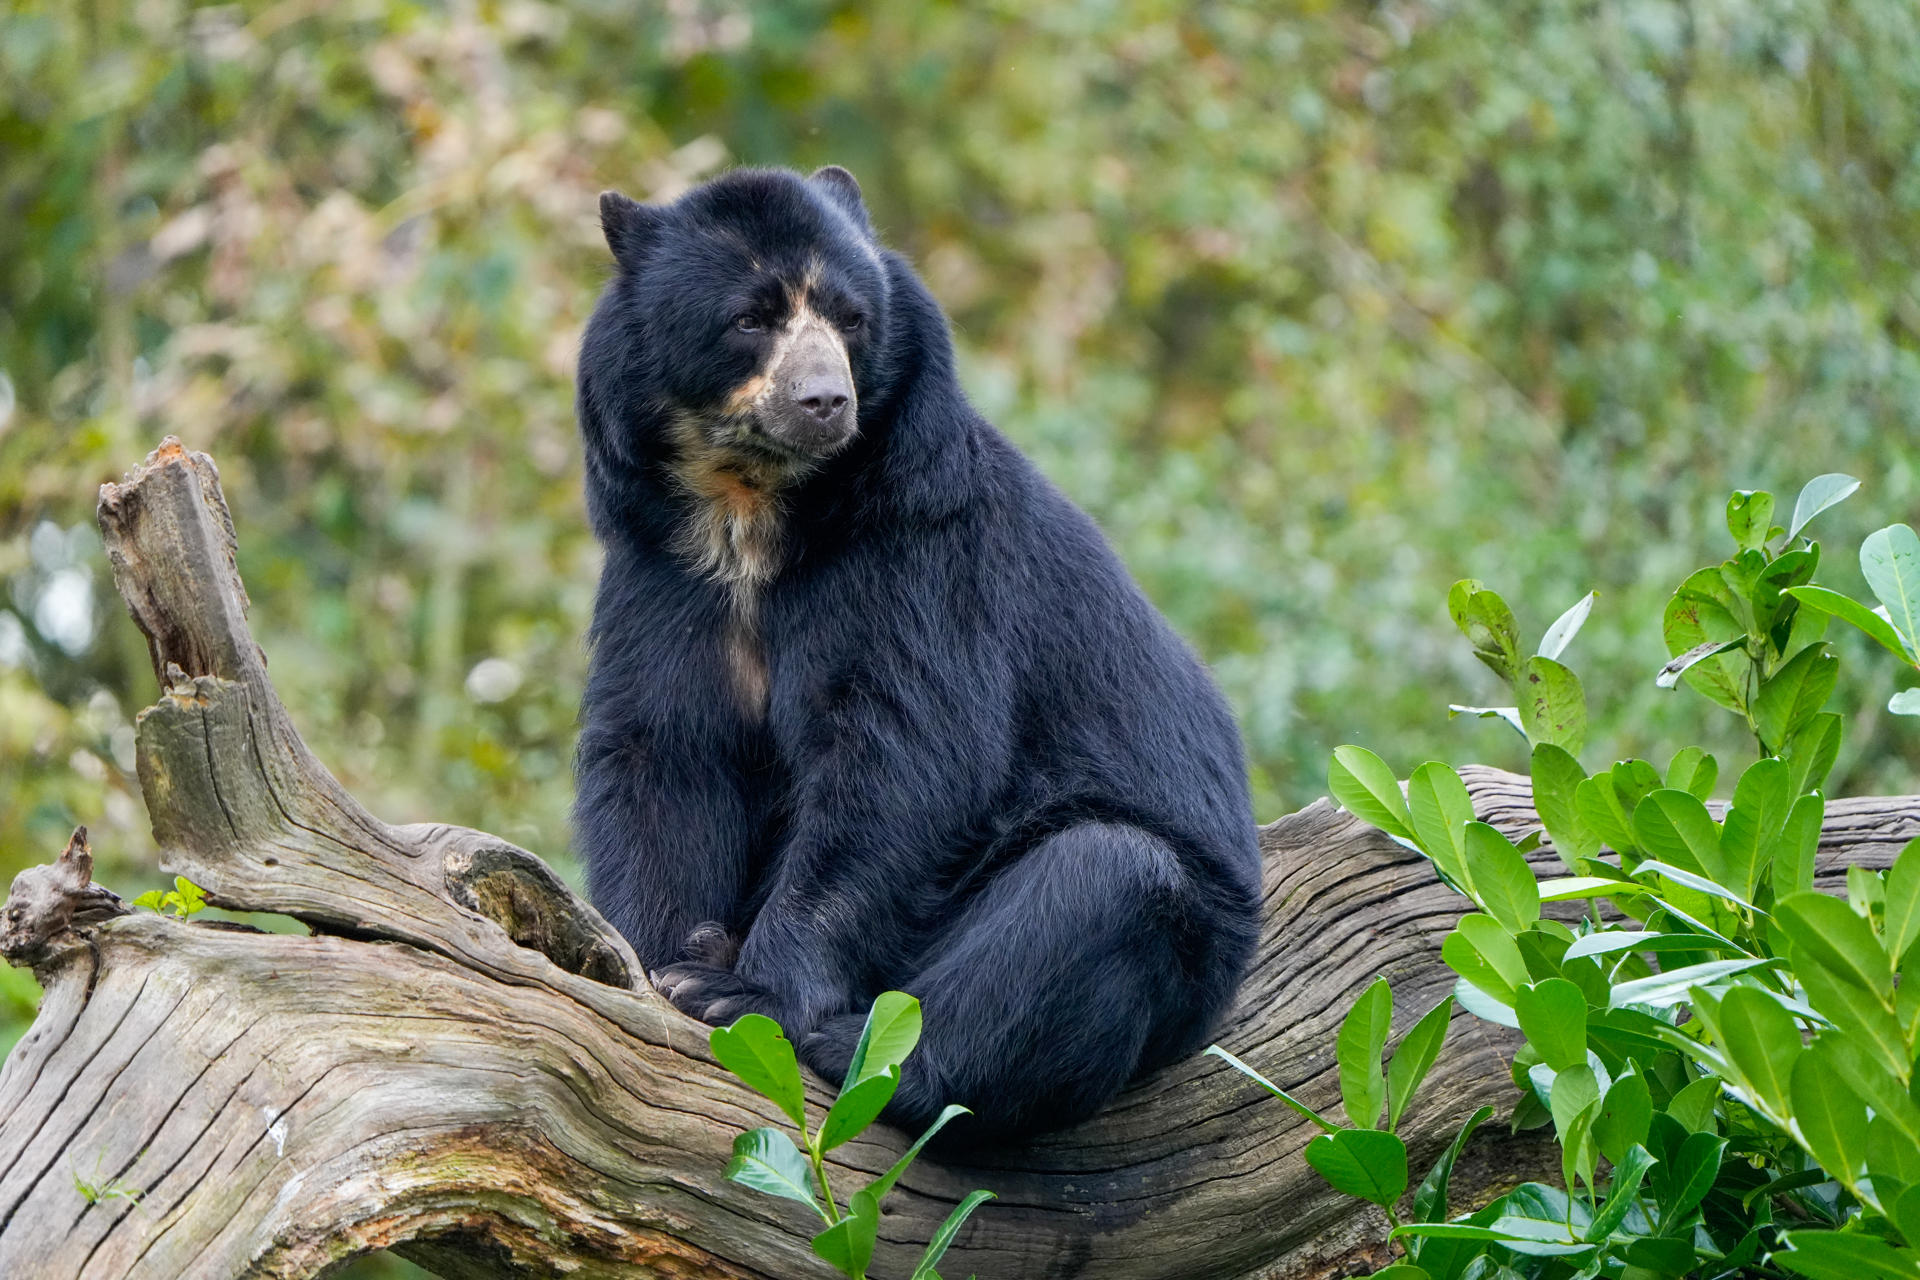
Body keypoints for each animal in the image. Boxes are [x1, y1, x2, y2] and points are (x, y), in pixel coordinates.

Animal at [572, 165, 1261, 1144]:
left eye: (851, 317)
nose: (825, 401)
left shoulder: (920, 556)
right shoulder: (659, 572)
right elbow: (662, 751)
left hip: (1186, 947)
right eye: (749, 319)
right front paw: (662, 957)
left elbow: (902, 756)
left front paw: (737, 992)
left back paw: (863, 1051)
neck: (751, 510)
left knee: (1102, 885)